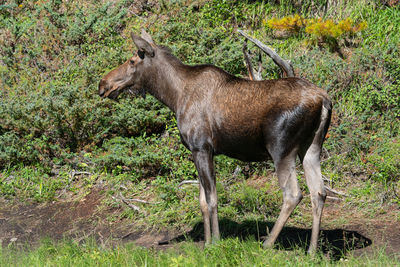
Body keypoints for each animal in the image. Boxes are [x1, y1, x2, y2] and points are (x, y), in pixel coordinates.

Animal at [98, 30, 332, 253]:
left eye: (132, 61)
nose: (103, 84)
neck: (173, 96)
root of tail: (324, 100)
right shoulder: (202, 152)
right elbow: (202, 201)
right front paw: (208, 241)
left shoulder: (201, 147)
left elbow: (212, 199)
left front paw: (215, 242)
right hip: (311, 148)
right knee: (319, 192)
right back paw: (312, 250)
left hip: (282, 149)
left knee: (293, 194)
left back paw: (268, 244)